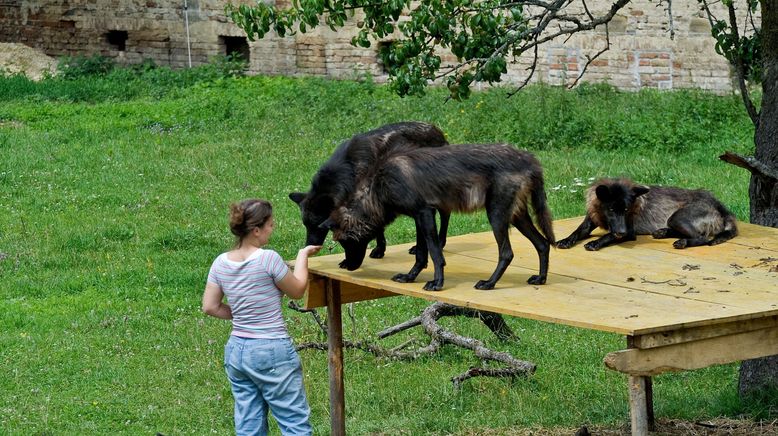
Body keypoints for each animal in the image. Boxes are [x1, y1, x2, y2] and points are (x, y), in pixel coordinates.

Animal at [324, 143, 556, 292]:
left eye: (346, 242)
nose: (348, 267)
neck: (379, 186)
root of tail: (529, 159)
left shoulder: (425, 213)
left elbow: (435, 253)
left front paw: (437, 284)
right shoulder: (419, 218)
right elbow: (421, 255)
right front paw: (410, 277)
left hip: (497, 216)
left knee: (507, 253)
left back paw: (489, 284)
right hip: (516, 217)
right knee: (543, 244)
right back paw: (540, 279)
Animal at [556, 177, 732, 250]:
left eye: (626, 210)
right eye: (611, 209)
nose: (621, 232)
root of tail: (717, 203)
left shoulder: (629, 232)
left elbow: (609, 235)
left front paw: (596, 243)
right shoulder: (590, 221)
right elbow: (578, 231)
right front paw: (566, 240)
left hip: (676, 217)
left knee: (702, 237)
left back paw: (683, 242)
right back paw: (662, 232)